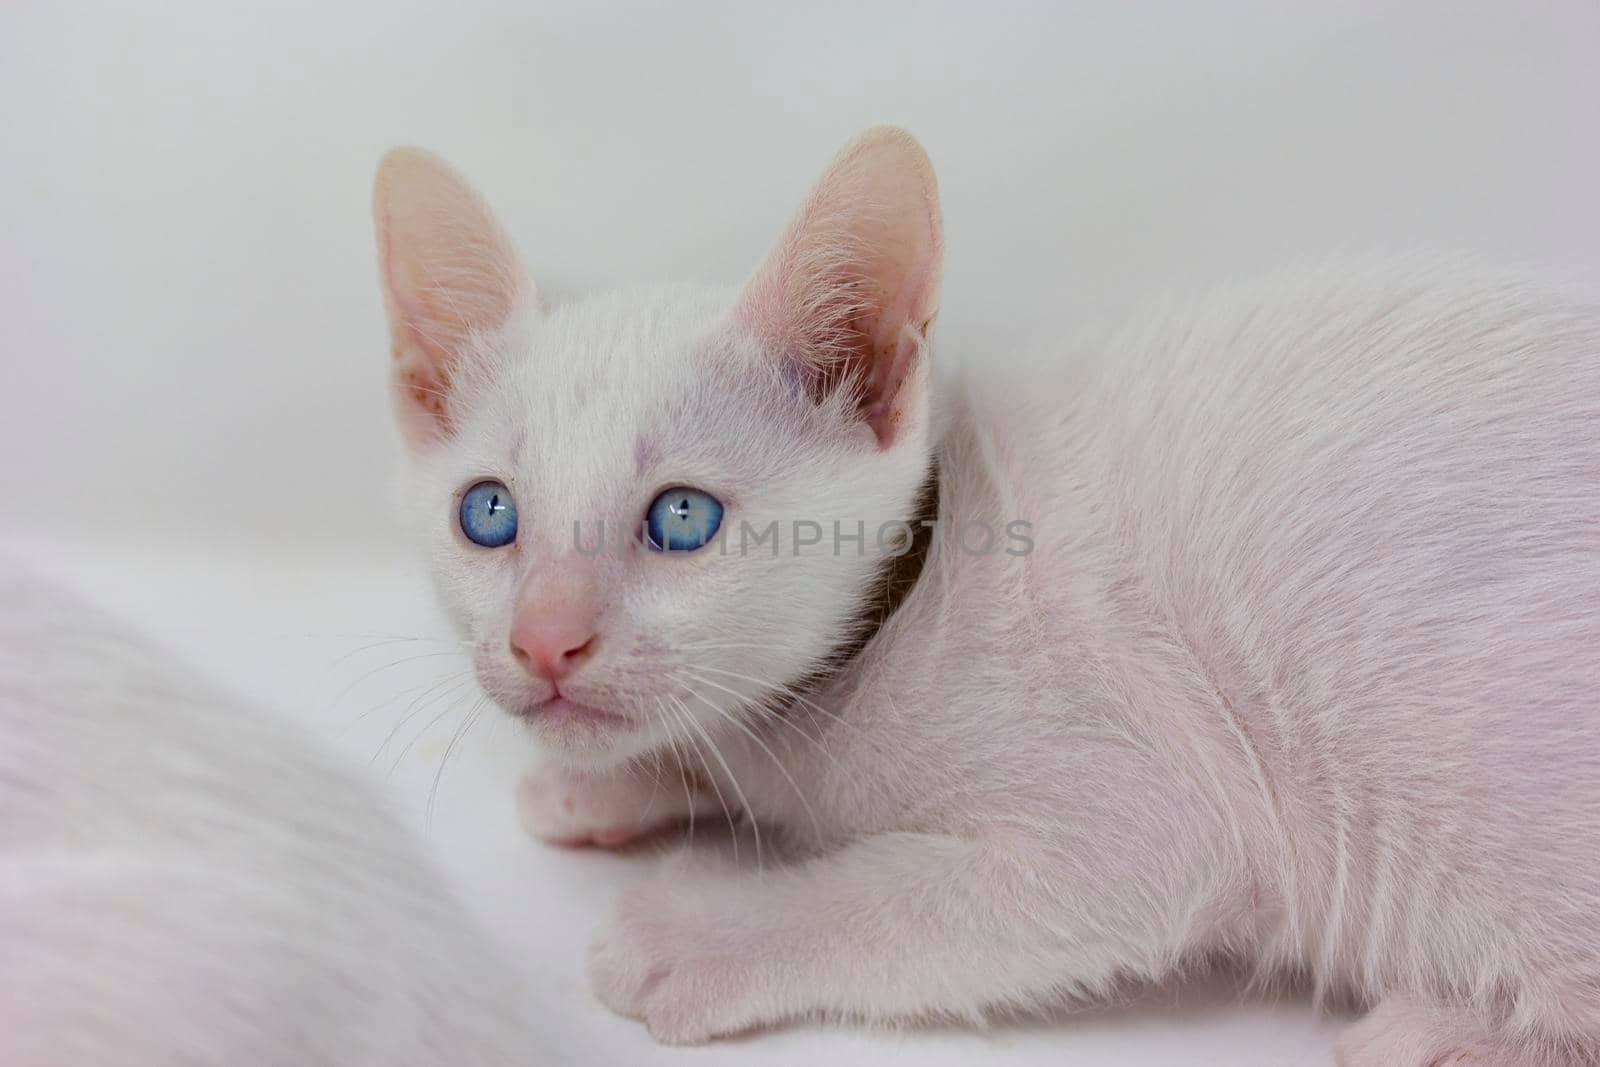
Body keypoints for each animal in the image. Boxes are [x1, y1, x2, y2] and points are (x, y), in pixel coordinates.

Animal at [371, 129, 1600, 1062]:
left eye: (682, 519)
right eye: (489, 514)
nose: (545, 640)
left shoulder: (1154, 807)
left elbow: (898, 896)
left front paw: (700, 930)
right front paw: (612, 780)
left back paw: (1441, 1030)